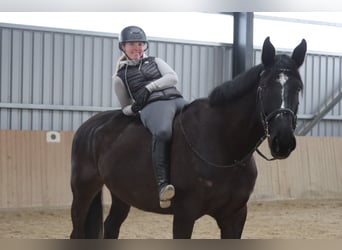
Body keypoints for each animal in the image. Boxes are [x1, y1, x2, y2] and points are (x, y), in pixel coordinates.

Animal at [70, 37, 308, 238]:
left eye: (298, 88)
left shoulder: (235, 216)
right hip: (83, 191)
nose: (283, 141)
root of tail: (89, 127)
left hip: (121, 194)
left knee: (111, 227)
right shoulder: (185, 215)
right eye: (264, 86)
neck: (223, 146)